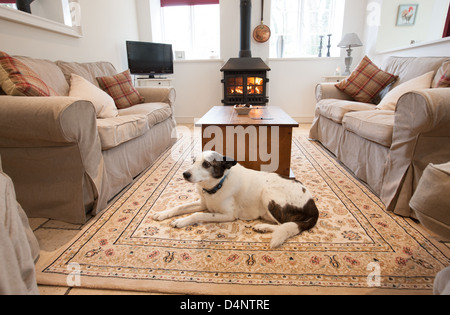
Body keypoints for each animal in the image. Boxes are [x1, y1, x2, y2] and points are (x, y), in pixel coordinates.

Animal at [153, 151, 318, 249]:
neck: (218, 185)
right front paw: (162, 214)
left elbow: (197, 215)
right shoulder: (203, 203)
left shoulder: (228, 215)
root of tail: (313, 205)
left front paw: (180, 222)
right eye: (193, 161)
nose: (185, 174)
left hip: (268, 193)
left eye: (206, 164)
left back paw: (263, 227)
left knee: (284, 224)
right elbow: (180, 207)